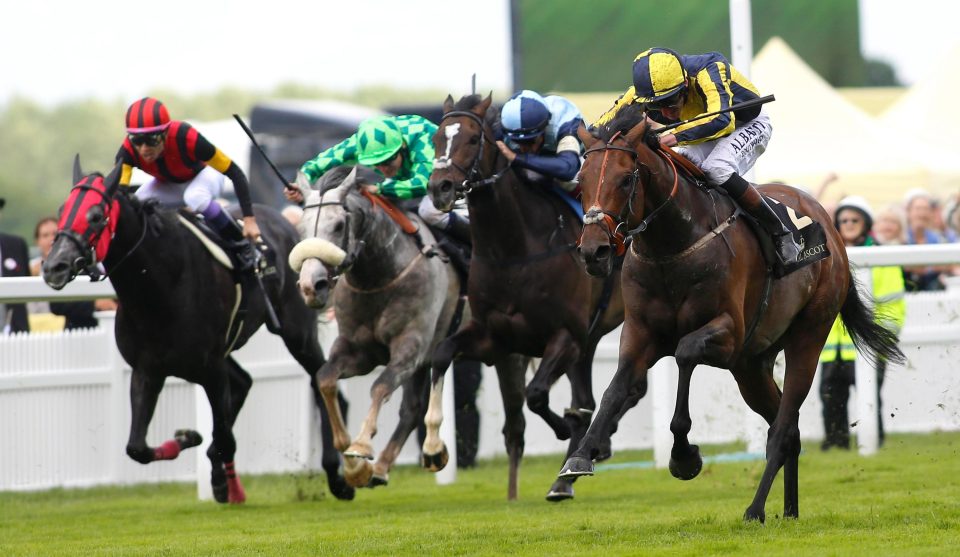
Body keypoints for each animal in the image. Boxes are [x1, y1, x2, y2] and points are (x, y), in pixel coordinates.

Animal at [41, 157, 354, 504]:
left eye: (96, 216)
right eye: (62, 209)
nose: (54, 266)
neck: (158, 285)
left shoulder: (210, 368)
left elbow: (224, 436)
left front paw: (227, 484)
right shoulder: (148, 369)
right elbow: (137, 447)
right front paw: (189, 439)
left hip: (296, 331)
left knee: (323, 387)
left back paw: (338, 476)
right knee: (244, 383)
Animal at [426, 94, 632, 500]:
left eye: (472, 138)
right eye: (438, 138)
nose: (440, 187)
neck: (514, 251)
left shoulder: (564, 336)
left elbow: (536, 394)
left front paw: (565, 428)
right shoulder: (495, 340)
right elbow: (441, 355)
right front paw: (433, 448)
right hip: (588, 339)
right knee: (586, 398)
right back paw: (571, 471)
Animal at [560, 106, 904, 520]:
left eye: (626, 179)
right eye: (580, 182)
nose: (593, 252)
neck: (672, 246)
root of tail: (832, 232)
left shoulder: (728, 334)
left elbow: (685, 354)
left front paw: (684, 457)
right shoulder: (640, 334)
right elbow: (615, 388)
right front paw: (579, 458)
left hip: (808, 335)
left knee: (782, 428)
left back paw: (756, 509)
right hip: (751, 365)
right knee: (789, 429)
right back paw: (789, 510)